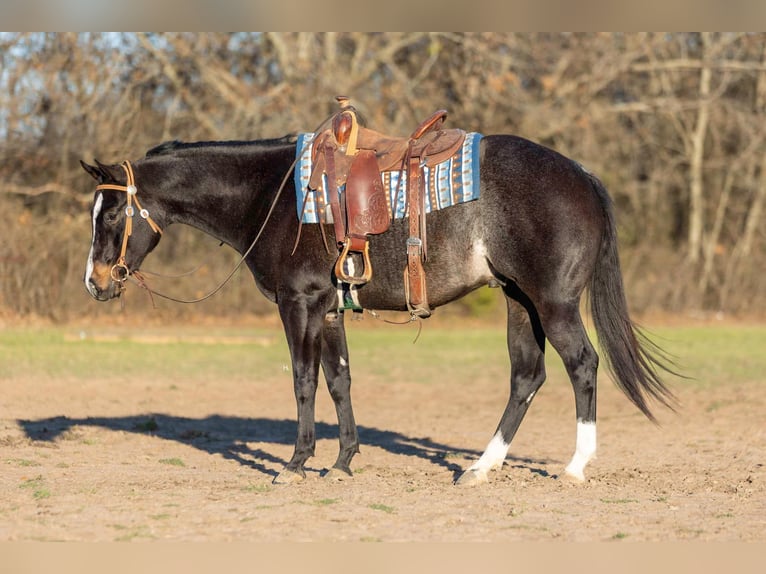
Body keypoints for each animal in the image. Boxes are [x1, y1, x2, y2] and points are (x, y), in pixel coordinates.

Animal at [81, 125, 676, 486]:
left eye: (109, 215)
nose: (95, 282)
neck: (271, 194)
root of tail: (582, 175)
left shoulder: (299, 304)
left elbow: (302, 380)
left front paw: (296, 463)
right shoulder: (329, 308)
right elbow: (339, 380)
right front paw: (343, 460)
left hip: (553, 303)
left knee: (582, 365)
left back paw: (575, 465)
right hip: (518, 301)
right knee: (527, 376)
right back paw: (480, 467)